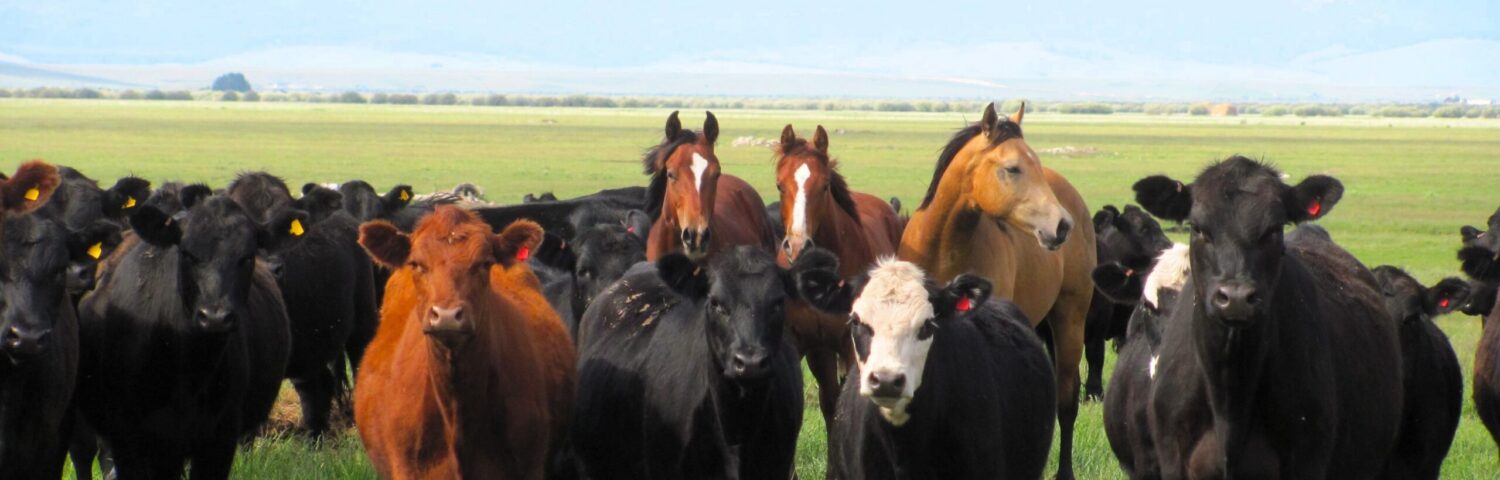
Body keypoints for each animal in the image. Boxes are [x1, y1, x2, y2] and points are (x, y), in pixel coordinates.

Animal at [896, 103, 1095, 479]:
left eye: (1034, 164)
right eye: (1012, 168)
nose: (1061, 225)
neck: (945, 248)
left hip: (1070, 320)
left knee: (1066, 400)